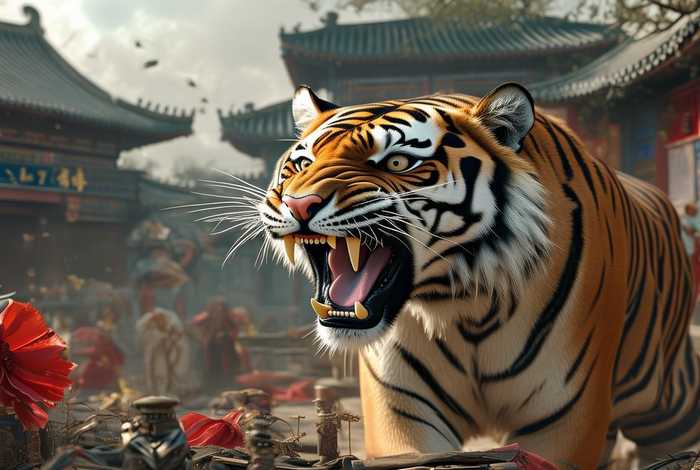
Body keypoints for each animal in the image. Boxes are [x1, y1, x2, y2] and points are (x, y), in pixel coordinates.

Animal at [255, 83, 700, 469]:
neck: (463, 304)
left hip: (670, 403)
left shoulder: (563, 418)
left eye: (398, 162)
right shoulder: (404, 409)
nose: (299, 204)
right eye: (302, 164)